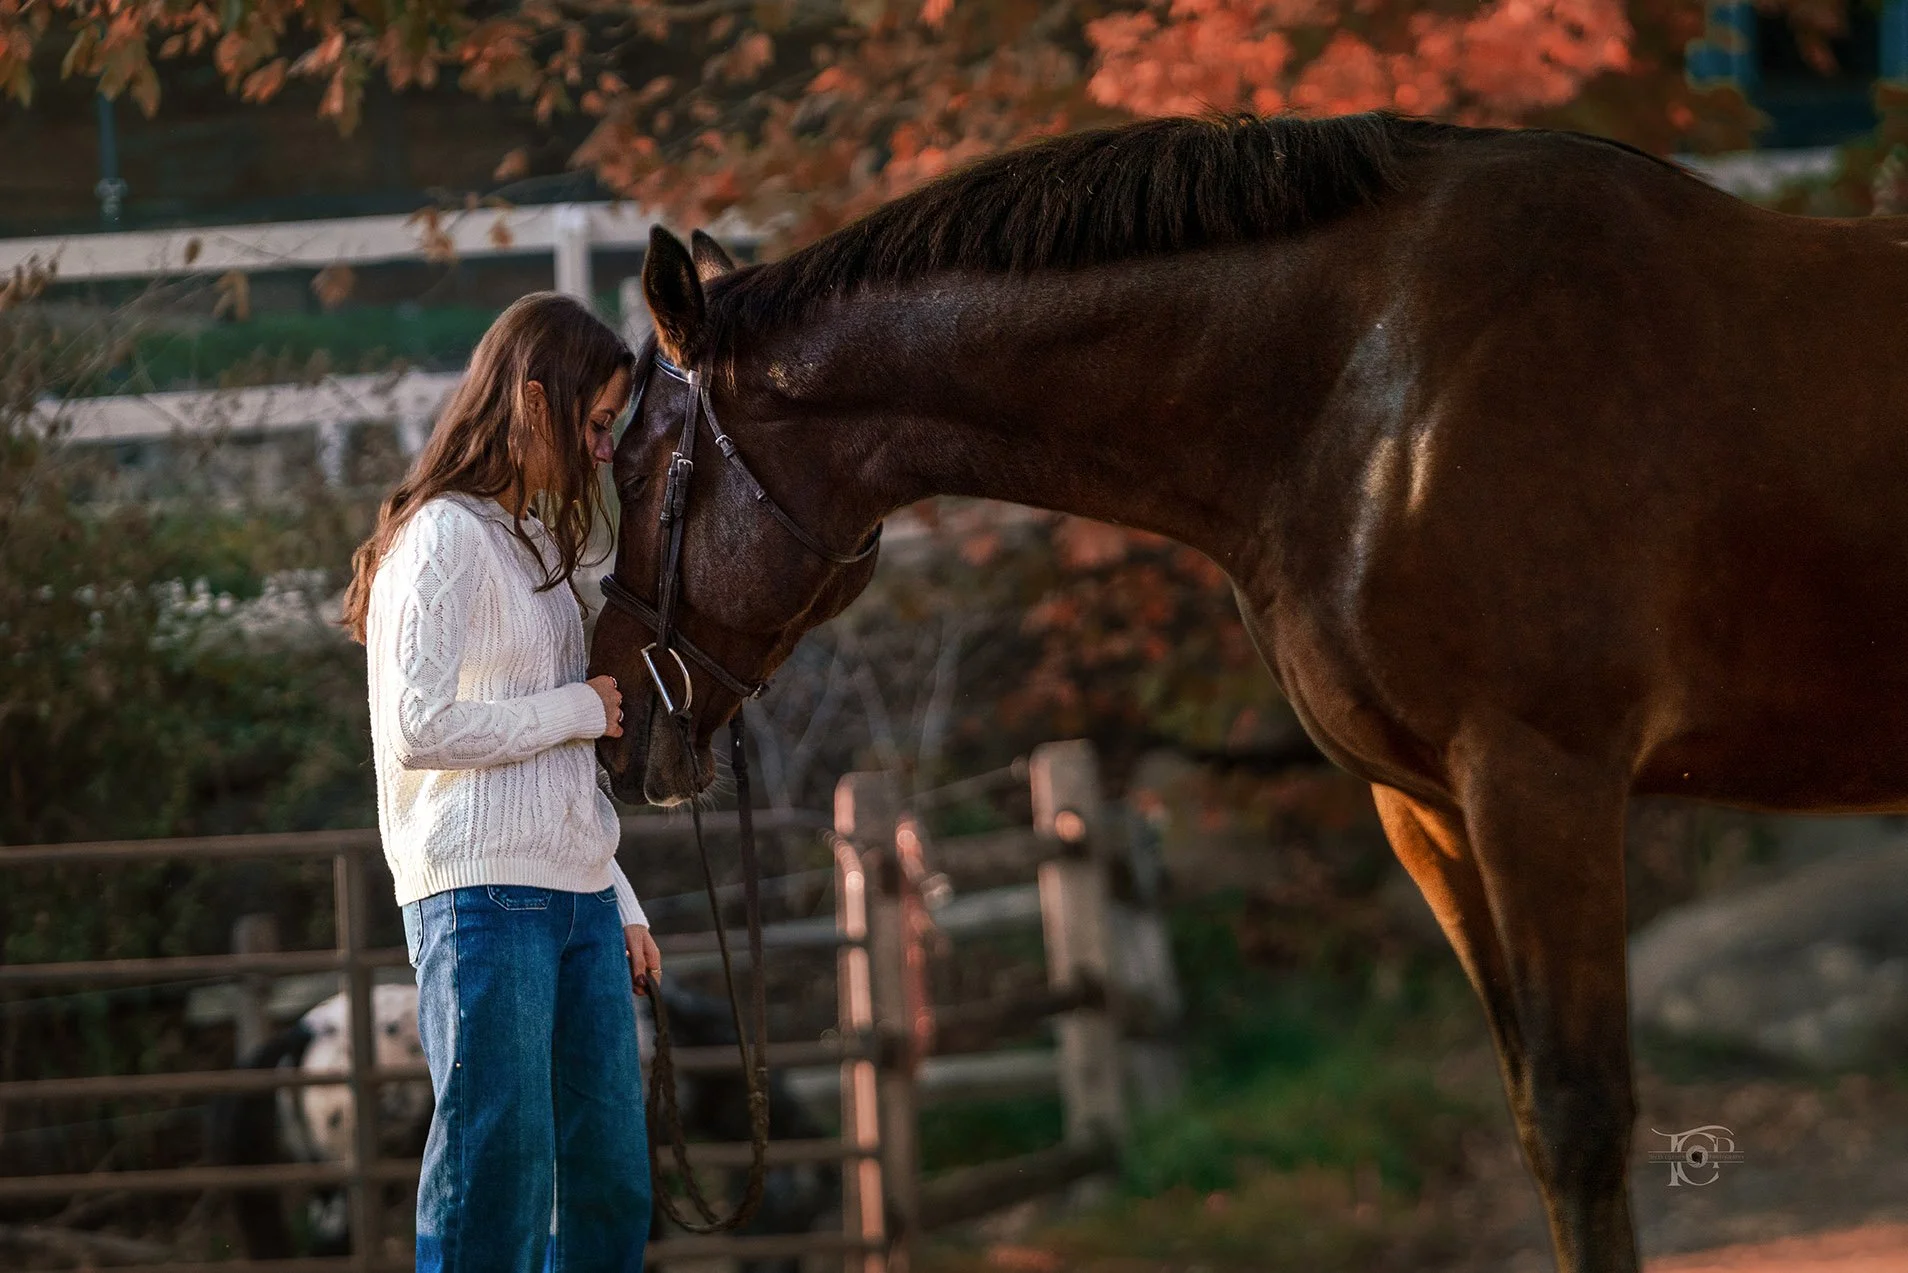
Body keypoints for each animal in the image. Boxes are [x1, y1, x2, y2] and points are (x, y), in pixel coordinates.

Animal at [584, 111, 1908, 1272]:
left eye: (637, 470)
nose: (613, 728)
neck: (1373, 385)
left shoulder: (1543, 781)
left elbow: (1585, 1123)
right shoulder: (1432, 810)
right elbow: (1538, 1117)